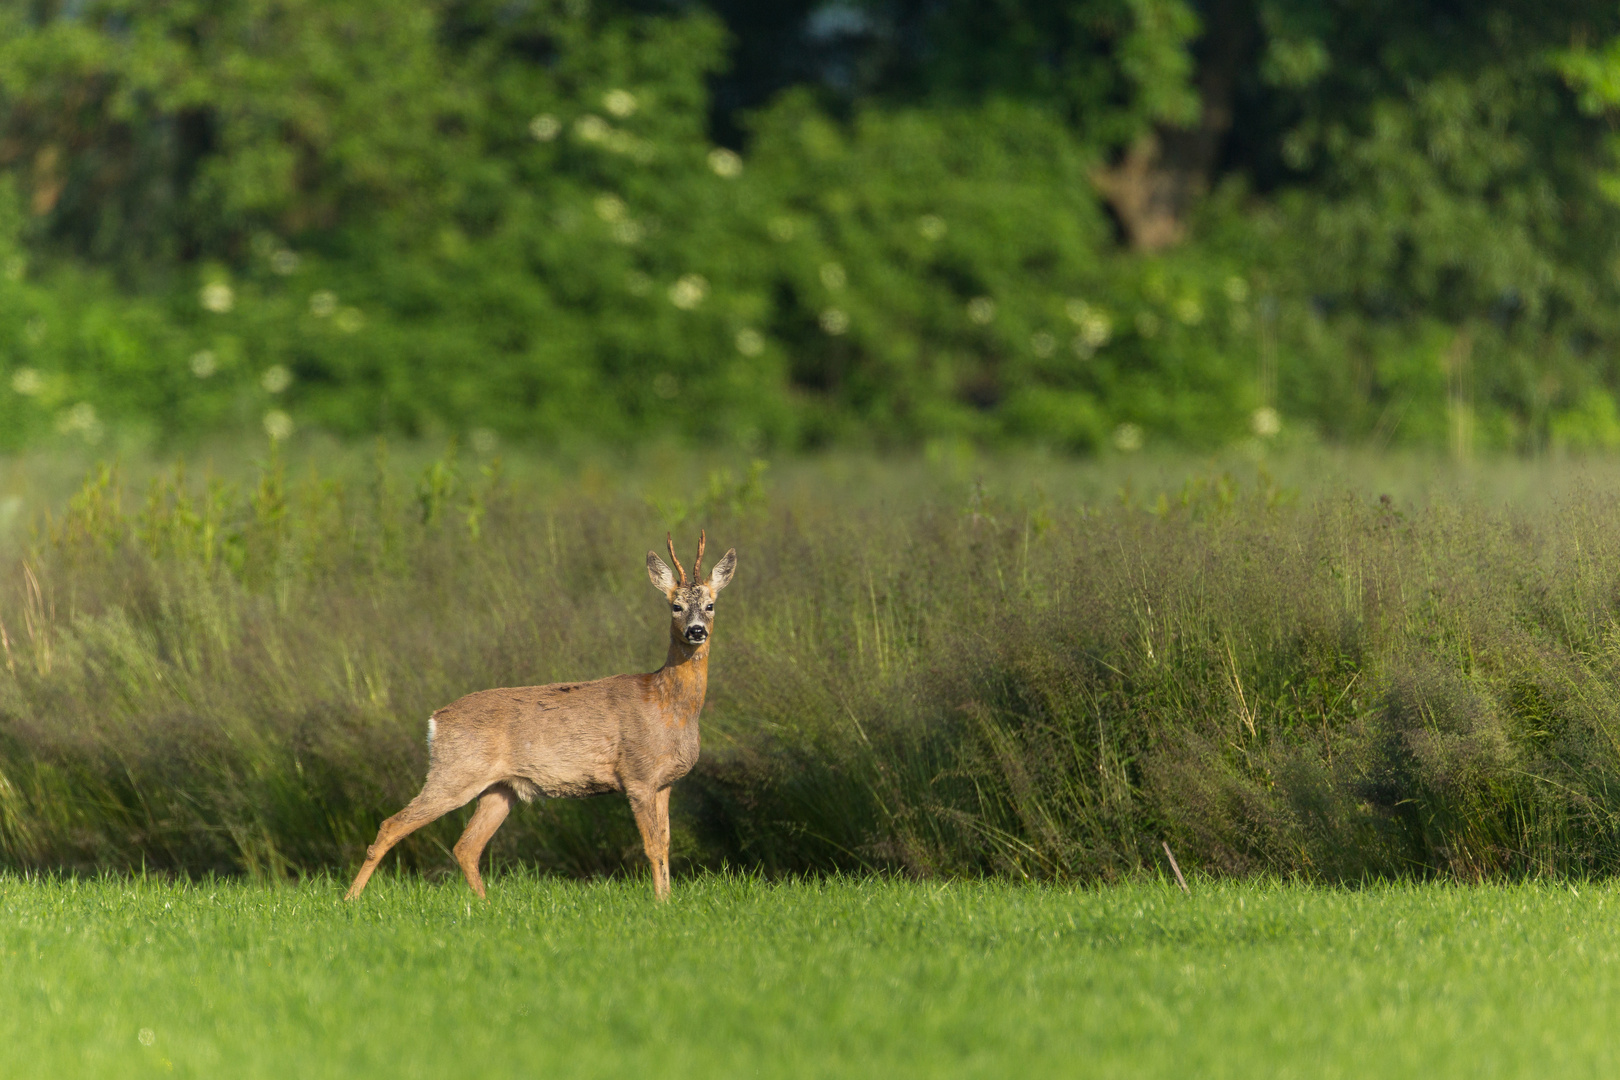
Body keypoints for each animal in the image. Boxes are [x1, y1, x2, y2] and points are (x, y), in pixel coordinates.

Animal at [351, 527, 741, 900]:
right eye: (675, 606)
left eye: (710, 605)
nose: (696, 631)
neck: (666, 703)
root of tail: (435, 720)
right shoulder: (638, 775)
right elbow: (652, 846)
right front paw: (661, 903)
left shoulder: (665, 783)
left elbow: (666, 844)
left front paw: (668, 900)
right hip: (454, 772)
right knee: (392, 825)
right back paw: (350, 900)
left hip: (499, 788)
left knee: (466, 846)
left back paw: (486, 905)